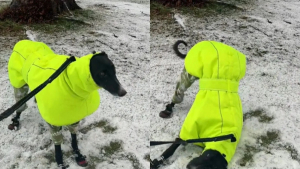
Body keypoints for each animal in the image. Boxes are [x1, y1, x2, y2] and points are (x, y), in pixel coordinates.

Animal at [7, 40, 126, 168]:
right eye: (102, 73)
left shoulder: (74, 117)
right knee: (20, 105)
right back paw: (15, 121)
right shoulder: (53, 122)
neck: (71, 84)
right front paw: (60, 161)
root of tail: (24, 41)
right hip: (20, 86)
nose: (123, 92)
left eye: (114, 69)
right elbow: (57, 143)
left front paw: (78, 155)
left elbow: (74, 137)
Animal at [152, 40, 246, 168]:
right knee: (179, 91)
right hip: (190, 73)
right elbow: (171, 148)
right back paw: (169, 109)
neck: (220, 135)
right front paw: (157, 161)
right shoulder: (186, 133)